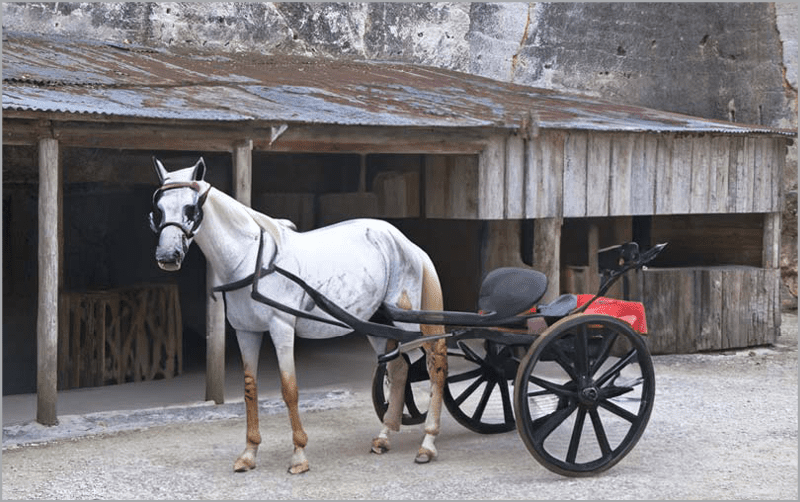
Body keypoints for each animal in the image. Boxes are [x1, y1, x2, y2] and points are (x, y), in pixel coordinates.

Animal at [148, 157, 448, 474]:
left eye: (190, 208)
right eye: (159, 209)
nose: (168, 256)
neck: (252, 261)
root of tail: (404, 241)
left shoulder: (281, 327)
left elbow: (289, 388)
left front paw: (299, 455)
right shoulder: (246, 331)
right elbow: (249, 388)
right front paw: (249, 454)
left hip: (412, 320)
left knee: (435, 366)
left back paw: (428, 444)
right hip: (376, 325)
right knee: (399, 369)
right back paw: (384, 436)